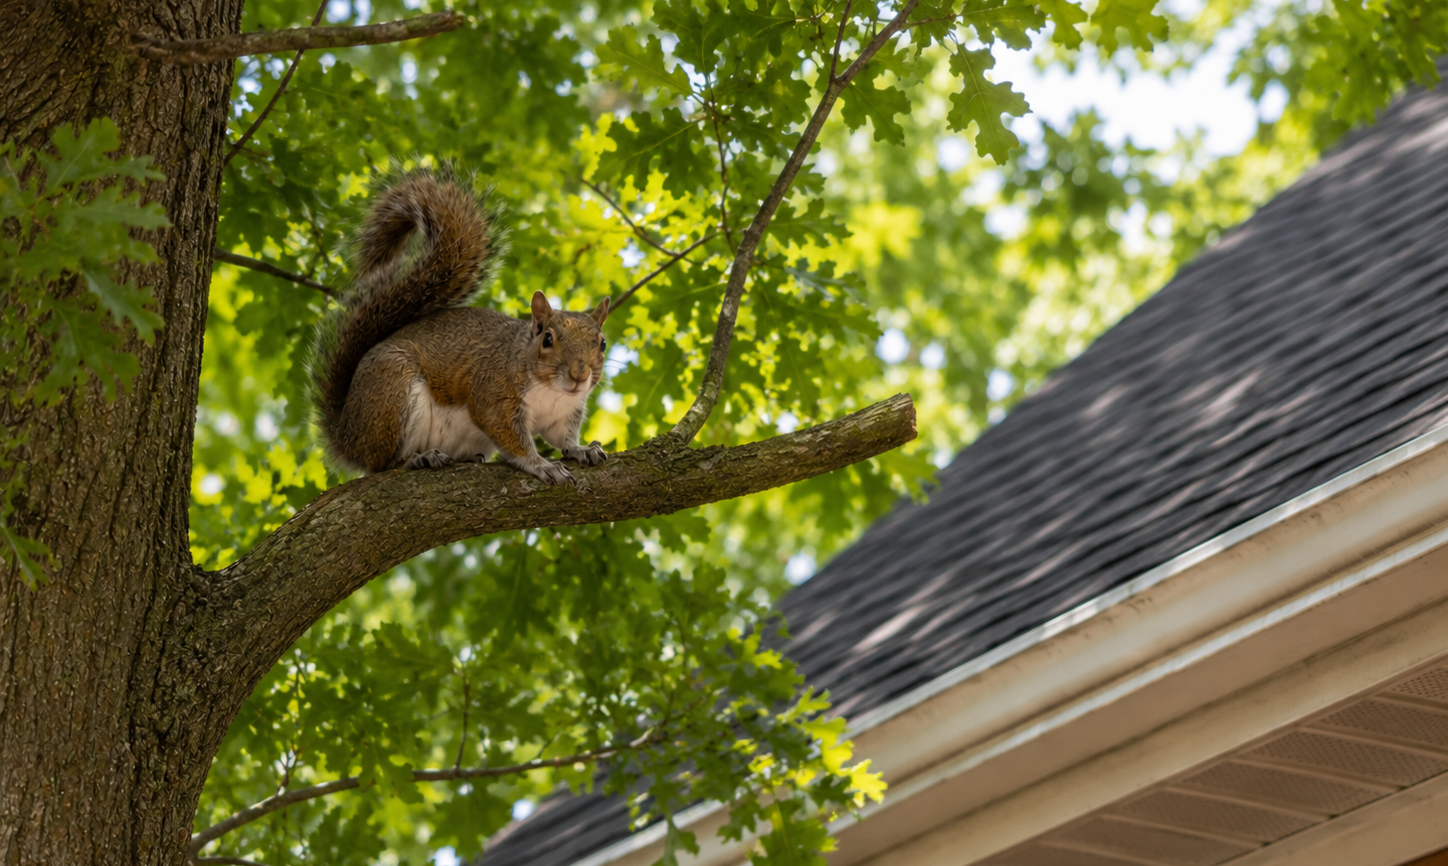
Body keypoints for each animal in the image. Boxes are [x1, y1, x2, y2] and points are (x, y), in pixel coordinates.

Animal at [309, 167, 611, 486]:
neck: (552, 391)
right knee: (383, 464)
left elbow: (562, 438)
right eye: (548, 339)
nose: (579, 374)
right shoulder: (493, 394)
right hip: (392, 392)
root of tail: (348, 434)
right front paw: (540, 463)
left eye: (602, 343)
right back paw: (418, 458)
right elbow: (510, 437)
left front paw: (580, 449)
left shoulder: (563, 414)